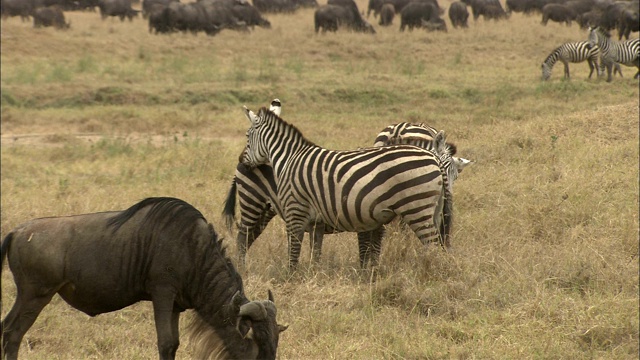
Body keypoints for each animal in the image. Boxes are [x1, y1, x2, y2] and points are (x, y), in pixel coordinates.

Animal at [239, 105, 450, 268]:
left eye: (247, 136)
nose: (242, 162)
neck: (289, 158)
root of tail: (434, 157)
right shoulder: (316, 221)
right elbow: (315, 252)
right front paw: (313, 275)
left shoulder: (295, 210)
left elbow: (294, 250)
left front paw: (291, 277)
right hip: (433, 209)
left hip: (416, 208)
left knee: (432, 246)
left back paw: (429, 273)